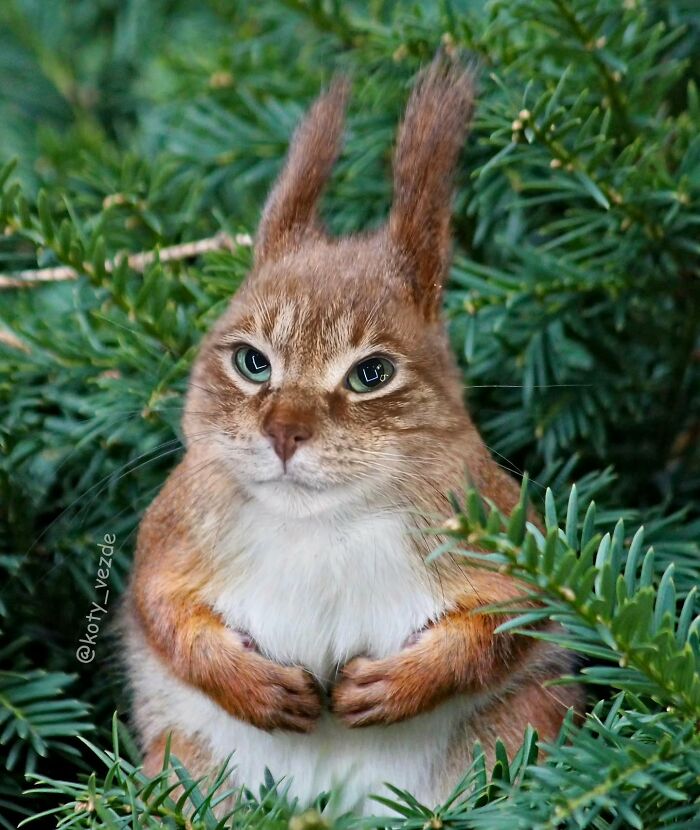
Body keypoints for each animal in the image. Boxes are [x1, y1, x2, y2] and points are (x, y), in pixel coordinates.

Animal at [123, 56, 582, 814]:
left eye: (373, 374)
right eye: (250, 361)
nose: (284, 434)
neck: (321, 518)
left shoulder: (494, 526)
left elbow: (506, 621)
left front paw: (396, 686)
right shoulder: (178, 528)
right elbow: (161, 609)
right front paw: (253, 689)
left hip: (519, 728)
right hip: (184, 761)